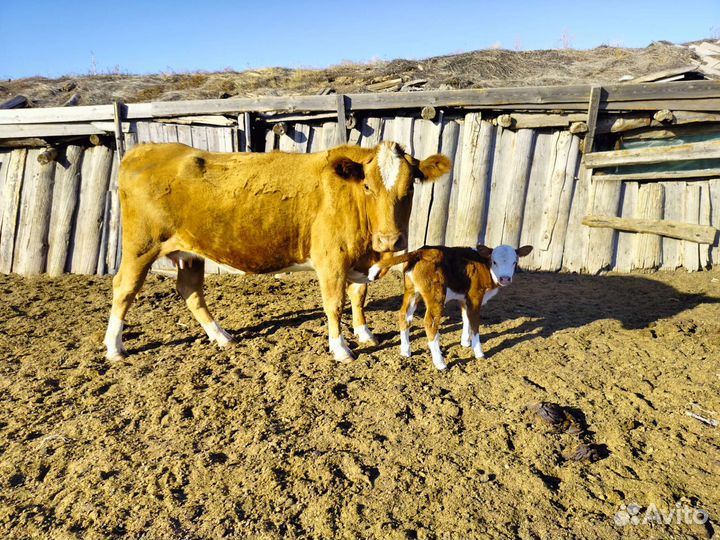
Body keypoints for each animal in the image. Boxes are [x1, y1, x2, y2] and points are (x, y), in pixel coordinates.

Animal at [103, 141, 451, 363]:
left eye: (410, 187)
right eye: (368, 187)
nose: (390, 240)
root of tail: (144, 149)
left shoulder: (358, 261)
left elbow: (358, 296)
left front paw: (365, 334)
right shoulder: (331, 260)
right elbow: (334, 304)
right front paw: (341, 349)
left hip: (190, 252)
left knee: (190, 291)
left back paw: (222, 336)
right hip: (140, 246)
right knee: (124, 288)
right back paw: (114, 347)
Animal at [367, 244, 533, 370]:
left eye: (515, 262)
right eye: (494, 261)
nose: (505, 279)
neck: (485, 268)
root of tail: (420, 251)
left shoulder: (464, 299)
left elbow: (466, 319)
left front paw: (465, 342)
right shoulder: (475, 296)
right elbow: (475, 324)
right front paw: (479, 352)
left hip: (411, 291)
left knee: (404, 316)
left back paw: (405, 350)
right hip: (436, 295)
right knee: (430, 322)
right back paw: (440, 363)